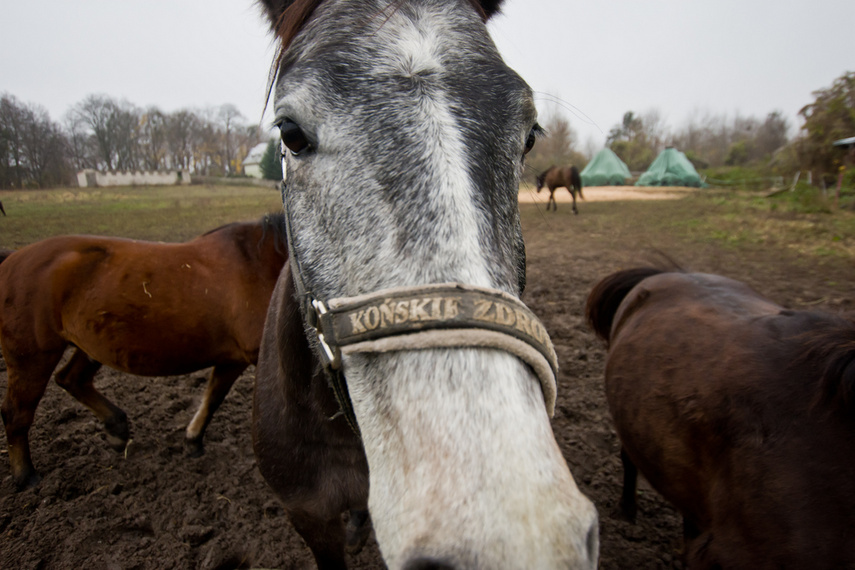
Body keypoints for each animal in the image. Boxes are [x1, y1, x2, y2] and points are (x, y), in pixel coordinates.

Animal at [0, 213, 290, 488]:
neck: (259, 262)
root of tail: (12, 258)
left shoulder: (233, 359)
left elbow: (213, 398)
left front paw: (193, 440)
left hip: (88, 347)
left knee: (71, 379)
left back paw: (117, 428)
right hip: (32, 358)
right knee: (16, 413)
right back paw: (25, 476)